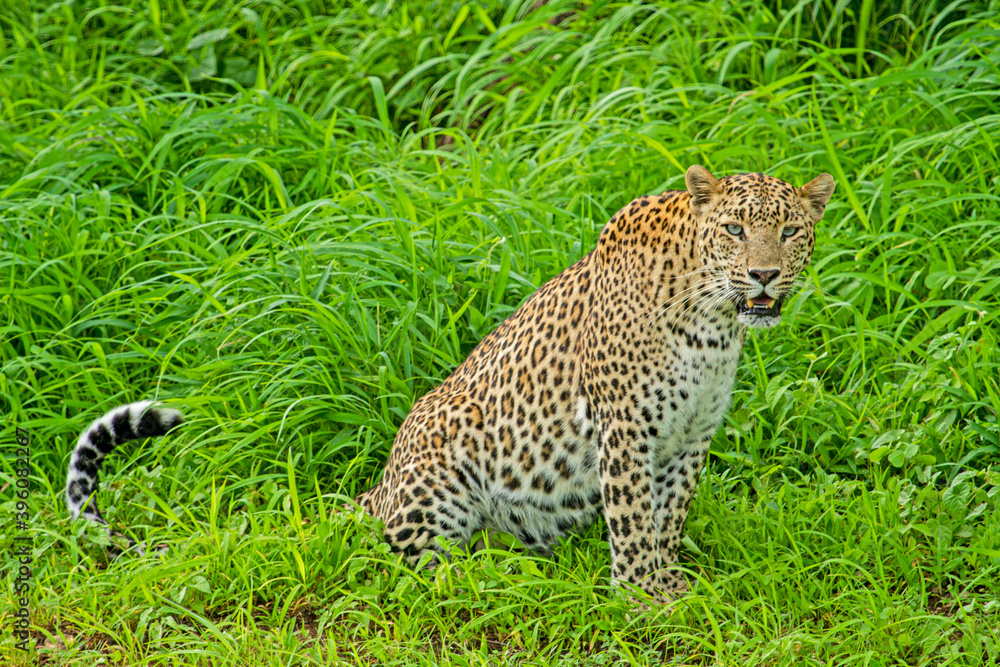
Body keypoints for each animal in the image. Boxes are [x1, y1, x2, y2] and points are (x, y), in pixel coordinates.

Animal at [66, 166, 834, 601]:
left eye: (792, 231)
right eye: (734, 230)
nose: (765, 274)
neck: (714, 322)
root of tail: (377, 488)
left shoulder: (689, 437)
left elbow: (667, 516)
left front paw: (671, 580)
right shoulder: (624, 432)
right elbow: (635, 520)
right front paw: (645, 597)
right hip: (445, 463)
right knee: (413, 564)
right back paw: (497, 580)